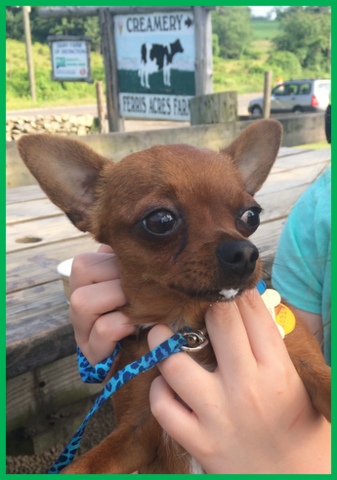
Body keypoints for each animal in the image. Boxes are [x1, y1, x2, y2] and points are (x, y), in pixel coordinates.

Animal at [17, 119, 328, 472]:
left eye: (252, 215)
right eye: (160, 220)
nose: (245, 253)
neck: (192, 331)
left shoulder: (306, 362)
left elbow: (327, 384)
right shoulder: (136, 433)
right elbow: (79, 466)